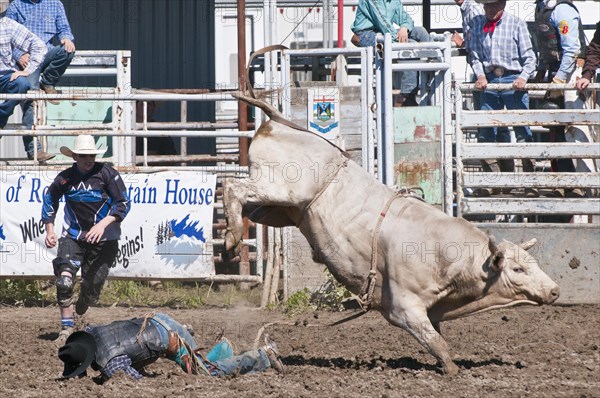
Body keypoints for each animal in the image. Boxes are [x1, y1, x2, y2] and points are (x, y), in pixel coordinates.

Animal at [223, 94, 560, 376]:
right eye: (518, 269)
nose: (555, 290)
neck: (445, 255)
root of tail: (278, 120)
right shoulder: (404, 309)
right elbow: (435, 342)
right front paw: (452, 370)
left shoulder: (432, 311)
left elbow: (435, 336)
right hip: (279, 189)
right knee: (232, 185)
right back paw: (231, 238)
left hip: (277, 210)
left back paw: (231, 237)